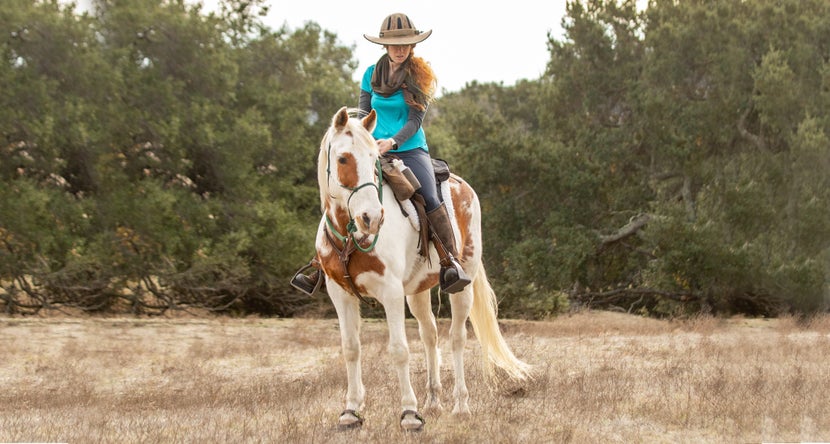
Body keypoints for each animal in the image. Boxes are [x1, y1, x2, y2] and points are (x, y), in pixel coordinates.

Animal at [312, 106, 532, 430]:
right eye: (342, 159)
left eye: (374, 159)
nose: (372, 218)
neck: (351, 234)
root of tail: (461, 184)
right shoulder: (341, 294)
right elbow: (351, 348)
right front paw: (351, 411)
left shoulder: (390, 293)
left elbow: (399, 350)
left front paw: (409, 414)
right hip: (416, 292)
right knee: (430, 335)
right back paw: (433, 401)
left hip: (462, 285)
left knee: (456, 337)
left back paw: (460, 406)